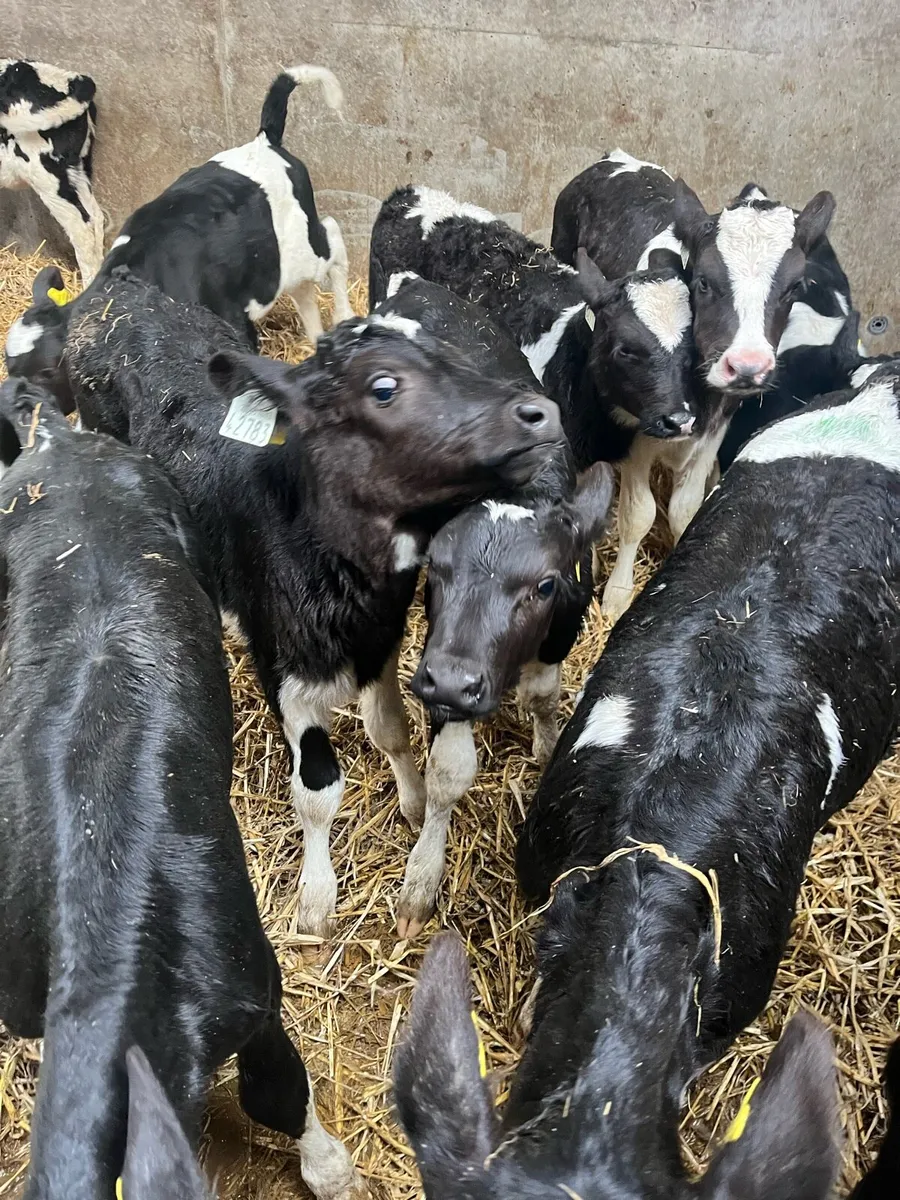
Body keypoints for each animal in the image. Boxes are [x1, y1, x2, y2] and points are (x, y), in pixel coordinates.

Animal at [62, 270, 562, 940]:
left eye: (452, 354)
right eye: (384, 387)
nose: (539, 411)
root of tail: (114, 286)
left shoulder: (379, 643)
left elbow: (389, 729)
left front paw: (412, 799)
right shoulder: (282, 667)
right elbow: (318, 790)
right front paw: (317, 899)